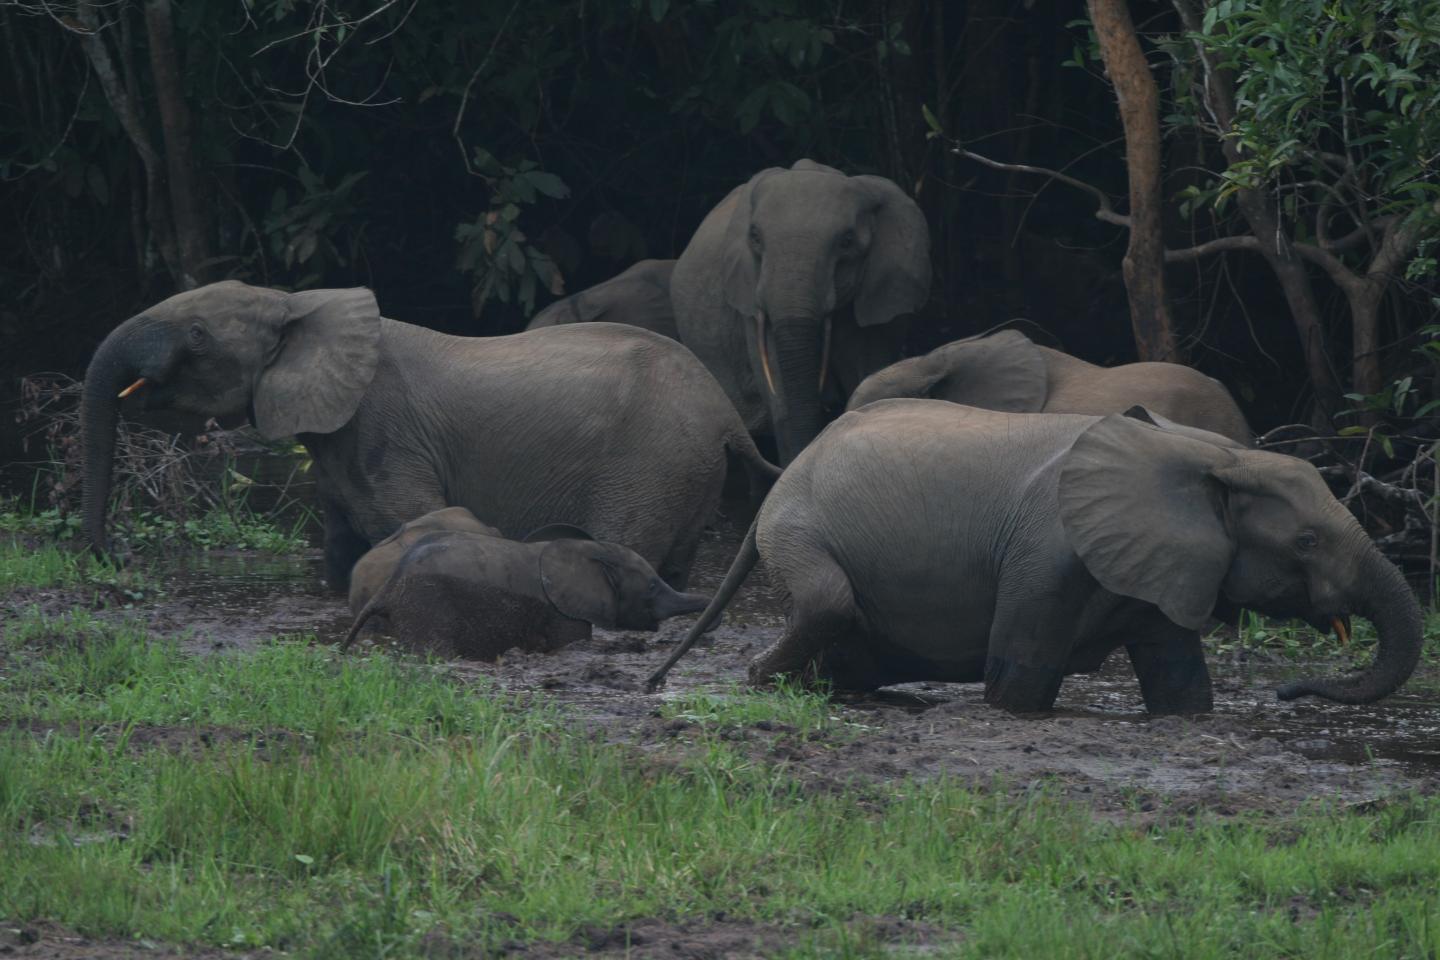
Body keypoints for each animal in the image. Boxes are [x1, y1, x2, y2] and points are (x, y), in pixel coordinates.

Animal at [81, 282, 777, 590]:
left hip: (650, 464)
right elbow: (341, 550)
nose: (112, 558)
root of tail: (724, 413)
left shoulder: (383, 430)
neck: (295, 301)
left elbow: (413, 524)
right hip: (686, 468)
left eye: (197, 336)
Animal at [345, 518, 711, 662]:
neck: (592, 552)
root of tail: (388, 588)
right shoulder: (561, 611)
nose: (713, 619)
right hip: (427, 606)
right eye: (651, 585)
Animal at [648, 400, 1422, 713]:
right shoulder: (1048, 556)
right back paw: (758, 680)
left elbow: (1182, 689)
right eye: (1306, 542)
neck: (1207, 455)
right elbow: (1017, 685)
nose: (1287, 692)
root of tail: (783, 479)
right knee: (827, 604)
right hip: (799, 531)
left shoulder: (1165, 564)